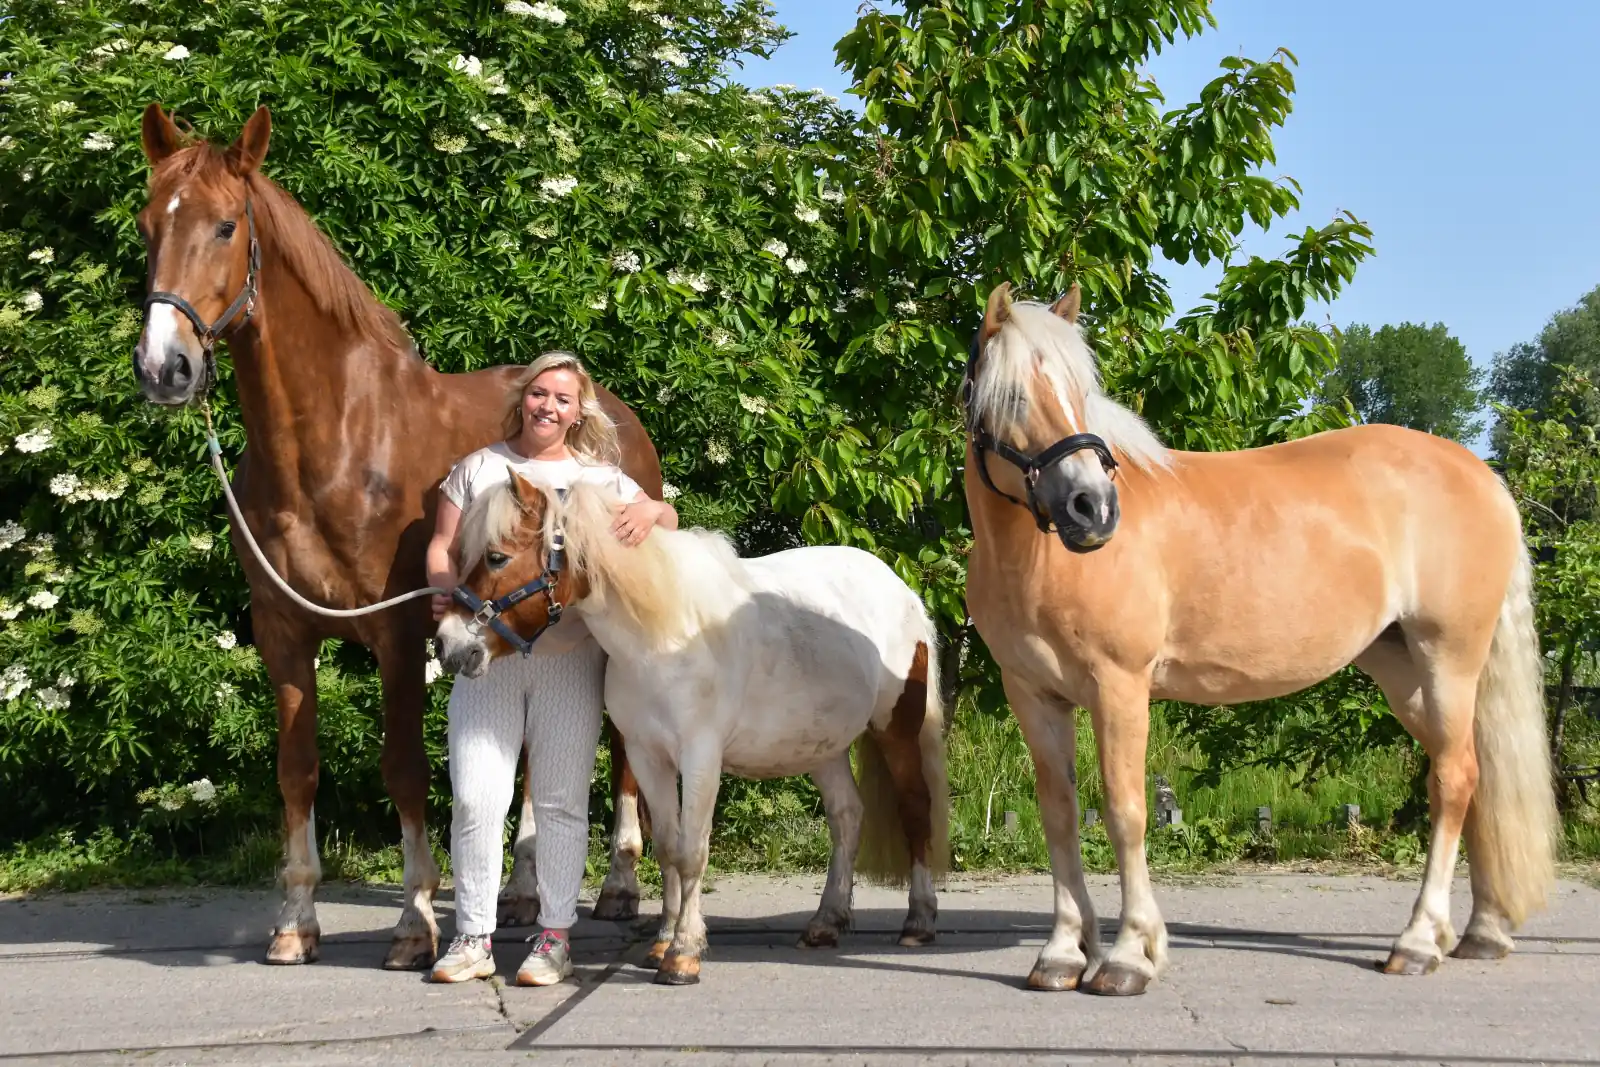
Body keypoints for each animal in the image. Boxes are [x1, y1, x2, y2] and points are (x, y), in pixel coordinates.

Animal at [131, 102, 655, 967]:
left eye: (225, 225)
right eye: (148, 225)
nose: (163, 368)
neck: (334, 442)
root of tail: (615, 417)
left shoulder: (402, 633)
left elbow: (404, 767)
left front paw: (416, 920)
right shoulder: (283, 632)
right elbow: (297, 770)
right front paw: (295, 922)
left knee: (622, 747)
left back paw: (618, 884)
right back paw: (520, 890)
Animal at [434, 473, 951, 984]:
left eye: (496, 556)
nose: (448, 644)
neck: (664, 636)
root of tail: (900, 589)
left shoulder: (701, 757)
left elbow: (692, 852)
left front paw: (683, 953)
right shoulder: (647, 756)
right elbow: (667, 848)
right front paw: (662, 941)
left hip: (896, 730)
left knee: (915, 809)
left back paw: (919, 920)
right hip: (822, 747)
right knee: (847, 816)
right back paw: (826, 922)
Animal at [962, 282, 1560, 995]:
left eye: (1080, 391)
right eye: (1012, 396)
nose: (1094, 509)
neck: (1037, 558)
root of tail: (1482, 474)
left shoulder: (1119, 687)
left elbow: (1126, 811)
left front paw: (1130, 955)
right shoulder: (1033, 694)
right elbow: (1058, 813)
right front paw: (1062, 953)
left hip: (1449, 658)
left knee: (1453, 781)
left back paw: (1417, 942)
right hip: (1403, 671)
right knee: (1479, 777)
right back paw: (1481, 931)